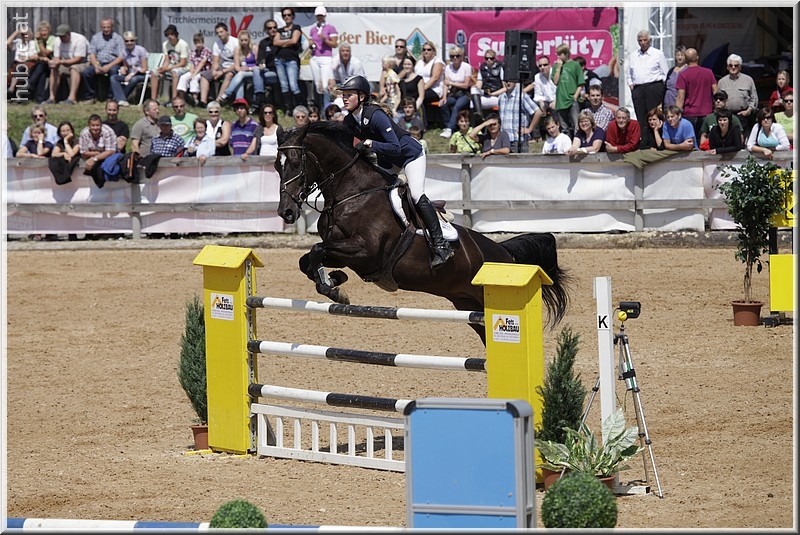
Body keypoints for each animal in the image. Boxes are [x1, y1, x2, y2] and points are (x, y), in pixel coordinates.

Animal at [275, 121, 571, 345]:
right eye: (277, 166)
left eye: (295, 163)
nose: (285, 212)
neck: (353, 193)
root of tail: (506, 254)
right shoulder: (342, 249)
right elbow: (308, 259)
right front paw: (335, 280)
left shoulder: (366, 251)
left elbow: (317, 251)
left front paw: (333, 287)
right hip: (466, 303)